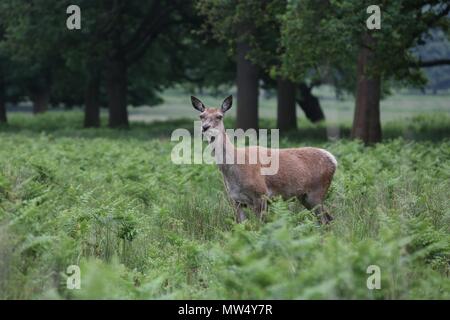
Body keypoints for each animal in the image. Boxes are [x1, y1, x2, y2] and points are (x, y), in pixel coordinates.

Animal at [191, 95, 338, 225]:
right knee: (329, 218)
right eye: (201, 116)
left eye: (219, 116)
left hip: (317, 192)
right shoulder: (235, 200)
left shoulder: (261, 195)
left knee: (325, 220)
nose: (205, 127)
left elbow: (261, 227)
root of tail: (333, 160)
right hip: (305, 197)